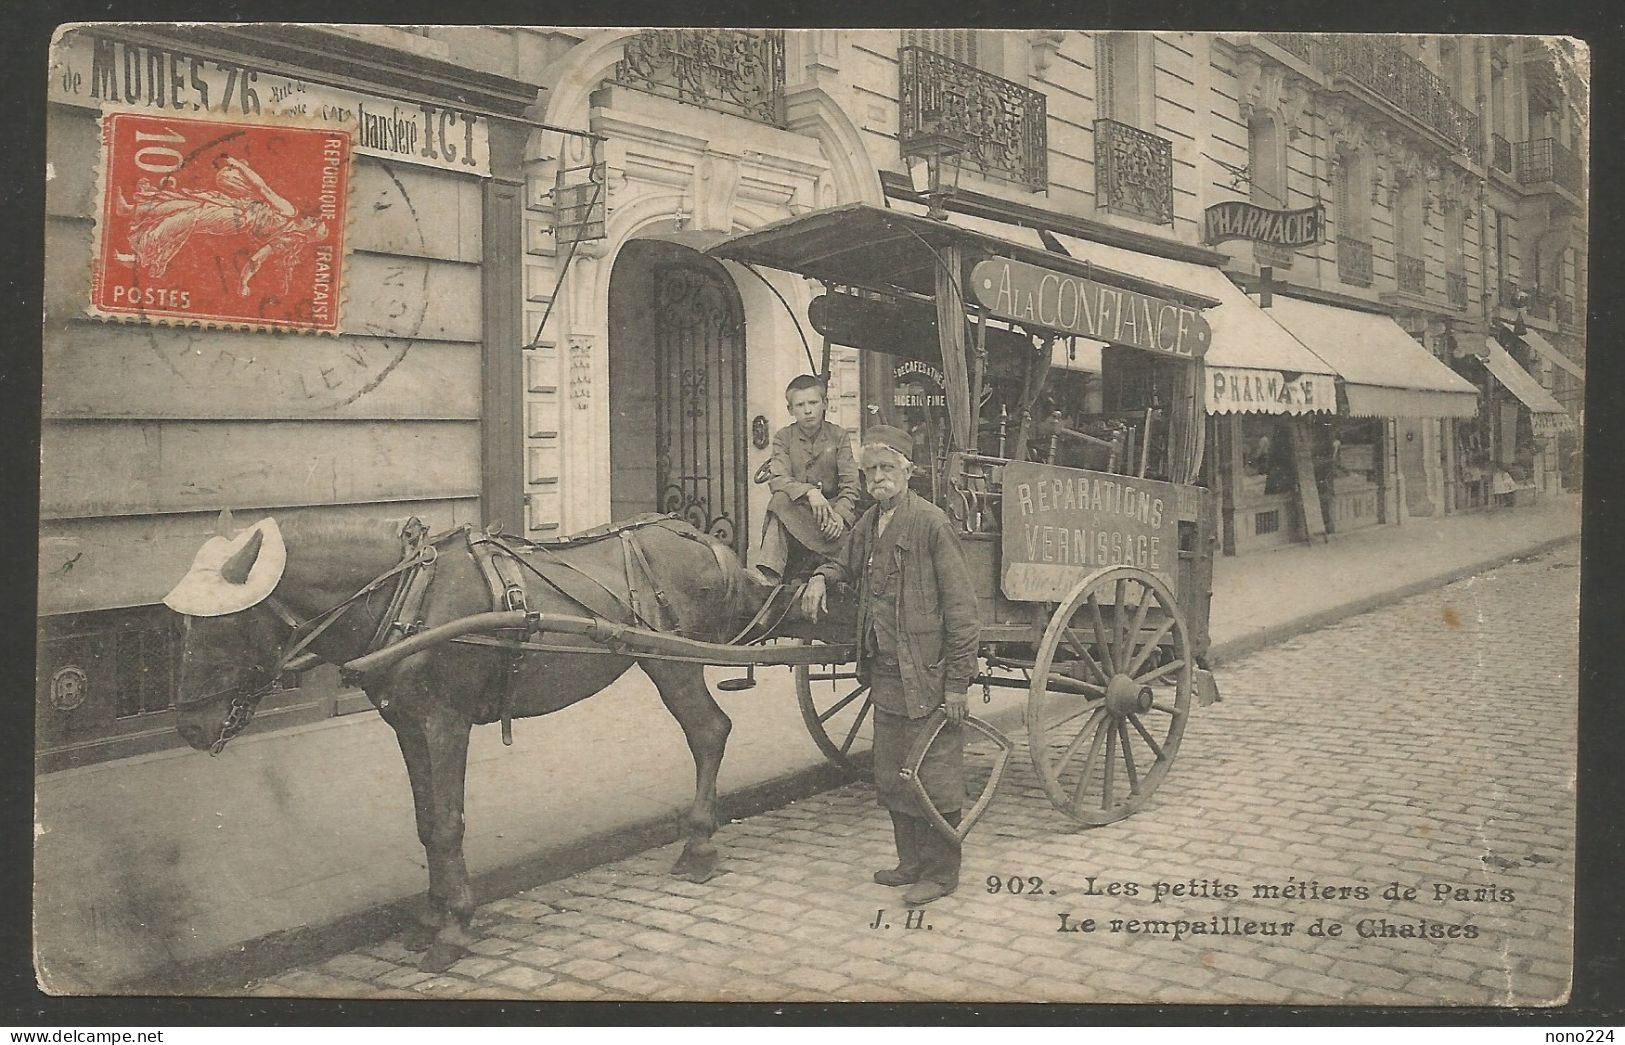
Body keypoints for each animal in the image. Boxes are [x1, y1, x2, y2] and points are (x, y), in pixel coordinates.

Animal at [166, 510, 773, 975]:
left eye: (221, 625)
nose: (190, 726)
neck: (409, 599)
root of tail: (704, 538)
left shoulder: (444, 722)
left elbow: (448, 824)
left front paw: (454, 928)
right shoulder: (407, 723)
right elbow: (426, 824)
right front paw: (432, 916)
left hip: (674, 663)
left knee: (709, 733)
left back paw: (698, 846)